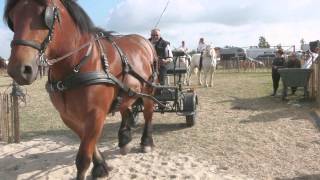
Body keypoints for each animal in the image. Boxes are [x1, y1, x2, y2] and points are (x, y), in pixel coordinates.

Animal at [5, 0, 158, 179]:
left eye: (45, 14)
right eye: (12, 19)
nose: (18, 69)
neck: (77, 65)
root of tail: (144, 41)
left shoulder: (96, 115)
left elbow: (83, 158)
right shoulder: (68, 116)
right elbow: (89, 145)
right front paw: (101, 166)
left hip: (148, 90)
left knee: (148, 114)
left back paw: (146, 141)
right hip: (126, 92)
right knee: (125, 110)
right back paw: (124, 139)